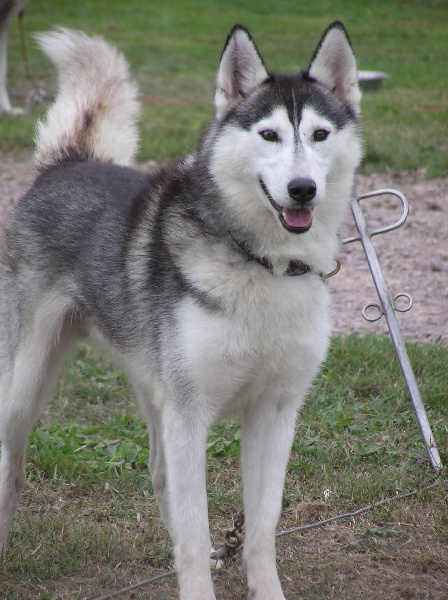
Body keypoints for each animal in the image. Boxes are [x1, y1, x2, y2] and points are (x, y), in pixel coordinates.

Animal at [0, 21, 360, 596]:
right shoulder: (190, 414)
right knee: (13, 470)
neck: (262, 263)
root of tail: (70, 161)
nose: (302, 189)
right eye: (269, 135)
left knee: (156, 469)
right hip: (24, 388)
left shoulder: (275, 412)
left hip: (154, 388)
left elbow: (262, 528)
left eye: (320, 134)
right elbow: (194, 532)